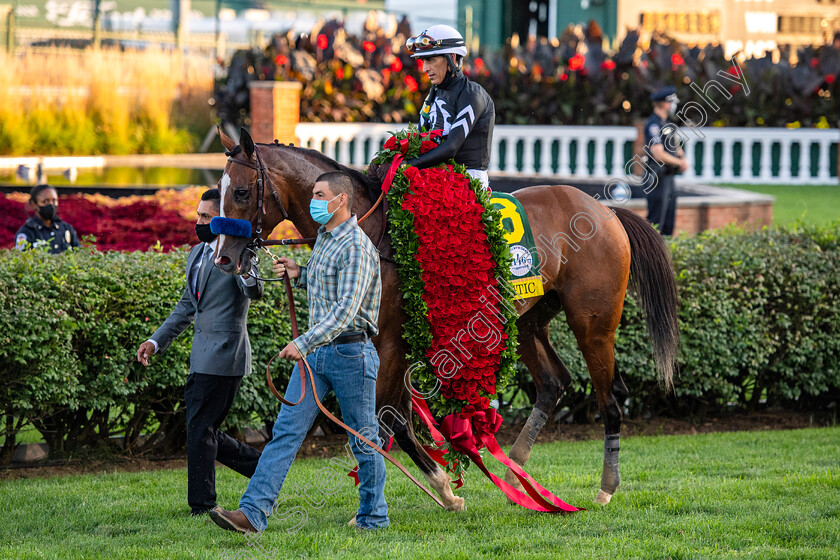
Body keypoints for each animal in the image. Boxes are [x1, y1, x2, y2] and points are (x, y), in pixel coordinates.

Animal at [213, 129, 680, 510]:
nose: (223, 259)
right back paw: (516, 473)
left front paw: (430, 489)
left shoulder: (392, 341)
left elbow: (387, 417)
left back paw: (605, 487)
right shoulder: (390, 342)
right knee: (554, 383)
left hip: (593, 324)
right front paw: (430, 488)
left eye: (241, 192)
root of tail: (606, 211)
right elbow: (389, 419)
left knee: (611, 397)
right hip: (527, 320)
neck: (375, 229)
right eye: (218, 190)